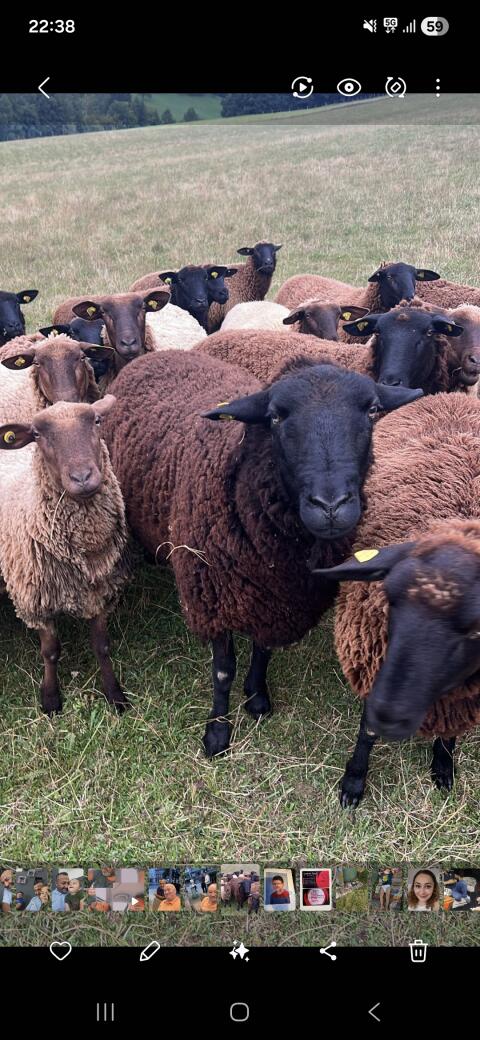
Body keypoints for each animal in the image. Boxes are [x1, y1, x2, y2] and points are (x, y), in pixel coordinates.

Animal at [0, 396, 129, 714]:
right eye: (36, 434)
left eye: (97, 420)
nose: (82, 477)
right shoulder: (34, 600)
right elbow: (50, 652)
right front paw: (50, 699)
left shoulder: (100, 591)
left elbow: (102, 646)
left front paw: (115, 695)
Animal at [102, 349, 420, 757]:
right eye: (275, 416)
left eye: (373, 410)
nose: (331, 506)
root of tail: (158, 354)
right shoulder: (213, 596)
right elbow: (223, 670)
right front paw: (217, 733)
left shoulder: (275, 596)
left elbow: (264, 649)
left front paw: (257, 697)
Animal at [314, 392, 480, 805]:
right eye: (389, 599)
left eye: (476, 630)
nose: (387, 715)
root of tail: (452, 395)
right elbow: (365, 732)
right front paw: (354, 781)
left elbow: (450, 735)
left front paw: (444, 765)